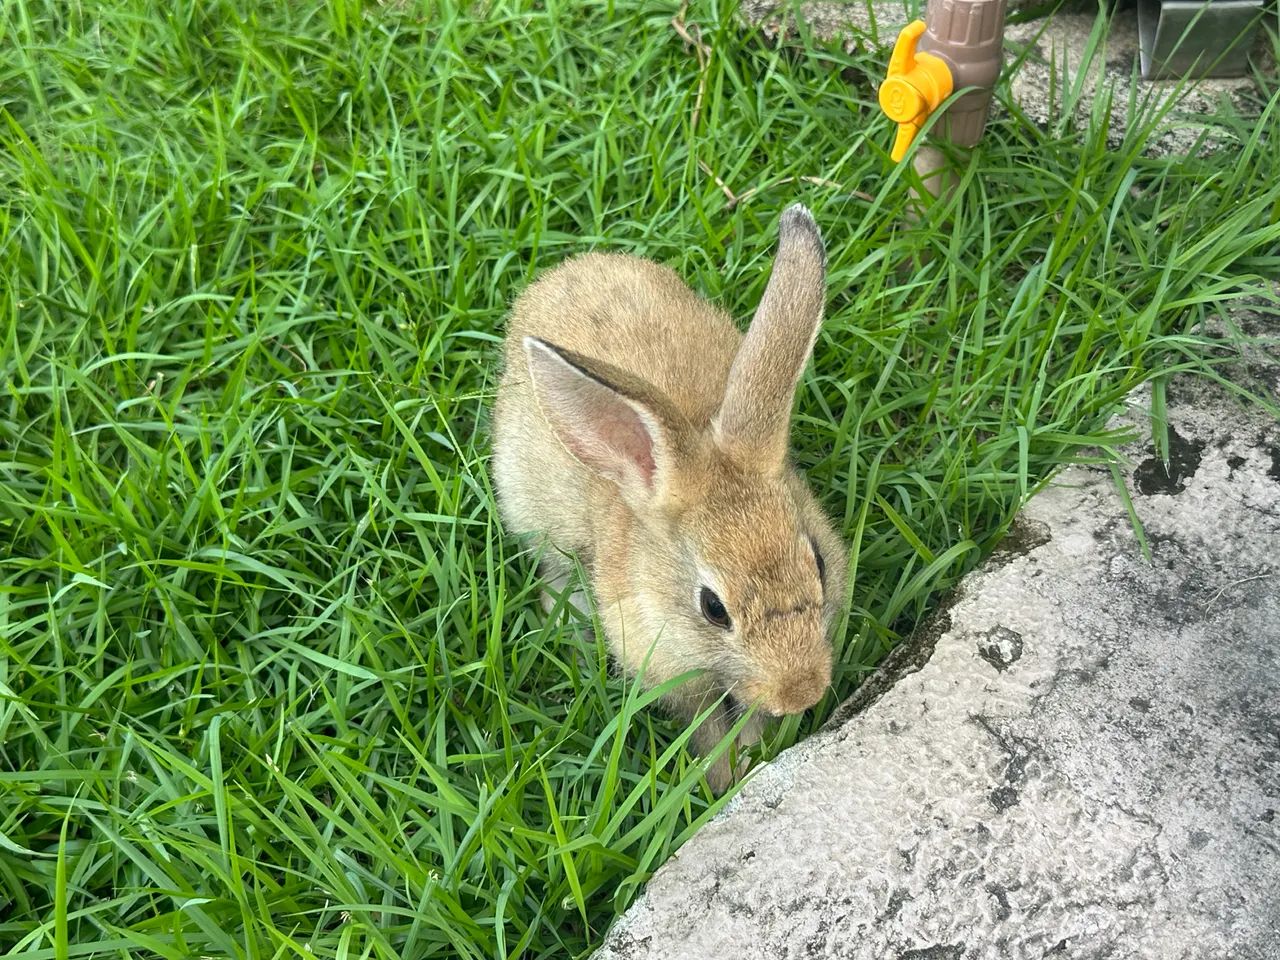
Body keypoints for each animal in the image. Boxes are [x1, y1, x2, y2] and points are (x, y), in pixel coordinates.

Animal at [490, 204, 848, 793]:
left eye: (818, 563)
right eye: (712, 608)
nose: (801, 690)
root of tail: (567, 272)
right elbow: (705, 728)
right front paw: (725, 780)